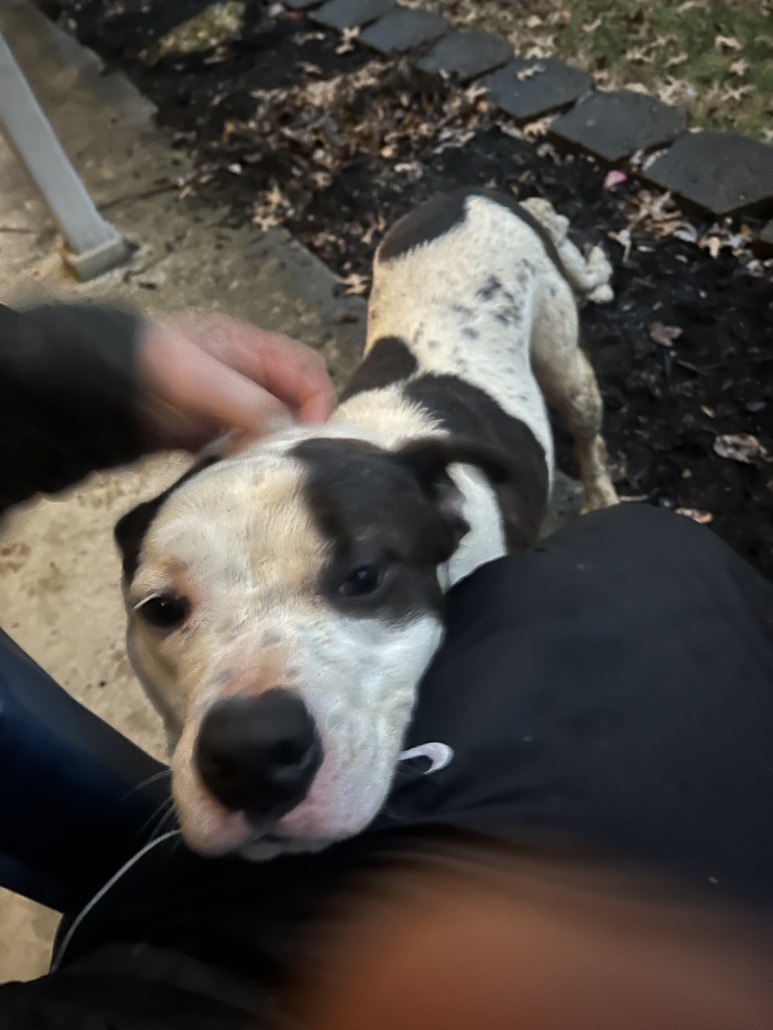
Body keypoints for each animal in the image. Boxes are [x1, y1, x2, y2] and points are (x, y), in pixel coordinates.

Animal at [115, 188, 618, 861]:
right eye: (162, 609)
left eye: (363, 577)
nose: (252, 753)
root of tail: (470, 193)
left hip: (565, 358)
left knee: (588, 427)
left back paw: (602, 492)